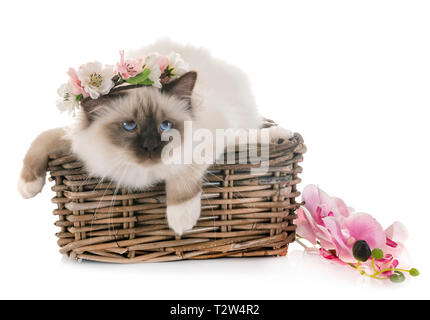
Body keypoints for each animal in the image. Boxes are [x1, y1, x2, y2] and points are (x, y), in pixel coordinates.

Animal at [17, 40, 292, 235]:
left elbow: (184, 173)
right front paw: (28, 185)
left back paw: (282, 136)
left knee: (249, 135)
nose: (150, 147)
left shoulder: (206, 141)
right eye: (129, 126)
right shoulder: (78, 143)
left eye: (166, 125)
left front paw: (181, 219)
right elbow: (42, 138)